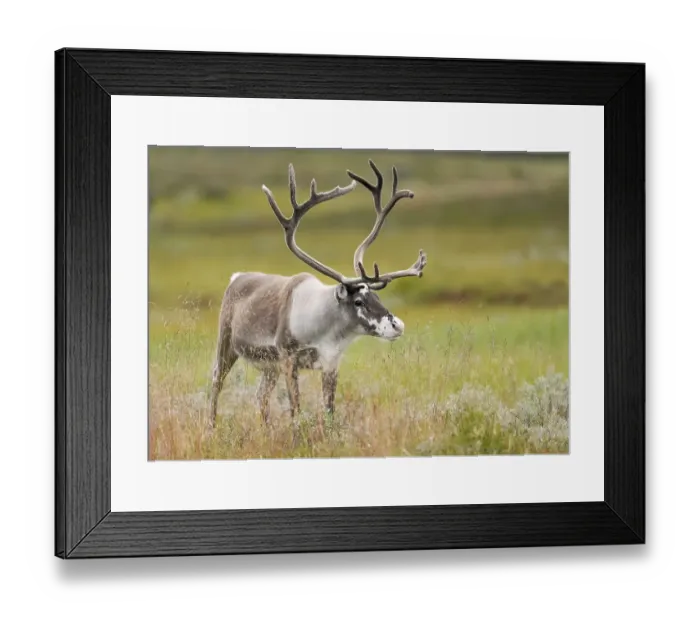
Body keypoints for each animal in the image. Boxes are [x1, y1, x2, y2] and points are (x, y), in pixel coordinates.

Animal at [208, 159, 427, 430]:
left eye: (377, 298)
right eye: (358, 301)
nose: (398, 325)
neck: (324, 329)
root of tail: (236, 276)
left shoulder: (331, 364)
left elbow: (329, 411)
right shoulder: (288, 358)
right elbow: (296, 411)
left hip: (269, 367)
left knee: (261, 396)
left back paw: (267, 431)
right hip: (227, 343)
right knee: (216, 383)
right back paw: (211, 428)